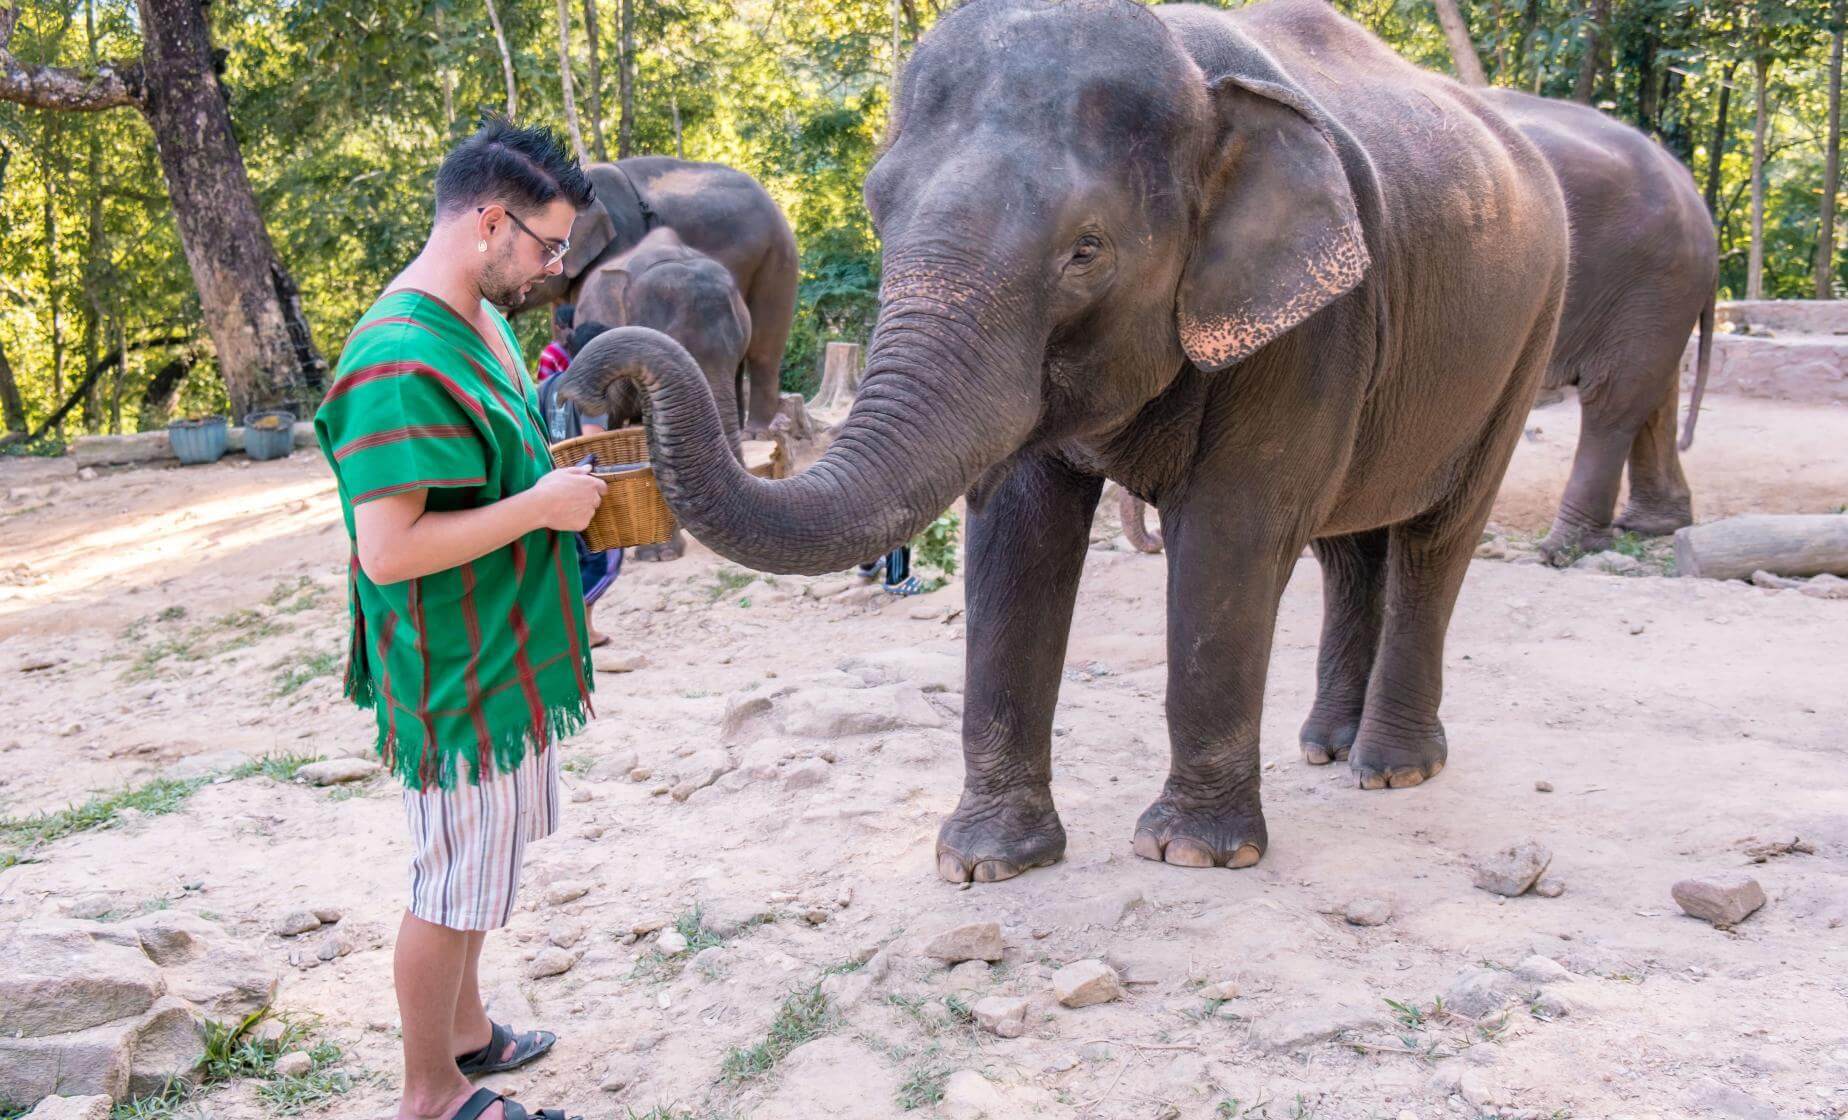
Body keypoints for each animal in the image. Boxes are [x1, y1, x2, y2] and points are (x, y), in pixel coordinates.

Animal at [560, 0, 1569, 881]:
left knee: (1436, 539)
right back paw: (1326, 748)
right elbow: (1017, 533)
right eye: (879, 212)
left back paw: (1391, 768)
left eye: (1086, 250)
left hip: (1526, 341)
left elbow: (1233, 532)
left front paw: (1193, 855)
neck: (1196, 73)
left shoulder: (1317, 321)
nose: (589, 372)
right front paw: (985, 864)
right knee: (1347, 546)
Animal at [1118, 93, 1719, 562]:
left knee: (1612, 399)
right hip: (1659, 291)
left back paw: (1561, 549)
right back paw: (1651, 526)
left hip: (1649, 280)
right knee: (1654, 394)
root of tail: (1692, 190)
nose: (1154, 543)